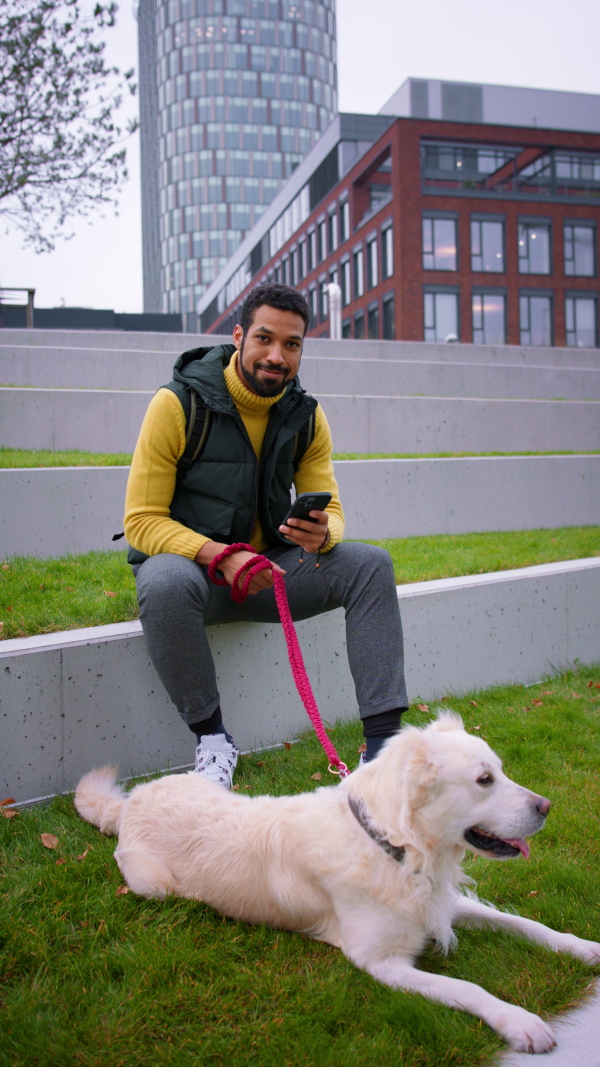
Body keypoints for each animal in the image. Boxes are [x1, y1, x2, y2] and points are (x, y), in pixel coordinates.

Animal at [74, 712, 597, 1054]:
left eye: (501, 771)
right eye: (485, 780)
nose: (547, 807)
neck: (394, 847)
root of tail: (128, 804)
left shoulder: (441, 902)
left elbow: (526, 924)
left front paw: (586, 948)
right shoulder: (380, 961)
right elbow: (468, 988)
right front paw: (521, 1022)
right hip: (152, 885)